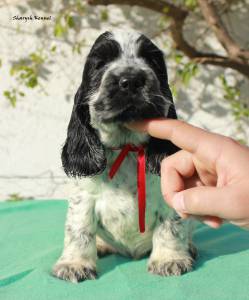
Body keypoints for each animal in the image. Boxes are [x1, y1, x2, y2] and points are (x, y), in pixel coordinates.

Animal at [52, 30, 196, 284]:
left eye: (152, 61)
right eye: (100, 64)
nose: (131, 80)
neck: (126, 147)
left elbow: (171, 227)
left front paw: (170, 259)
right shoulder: (84, 198)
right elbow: (79, 230)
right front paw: (74, 264)